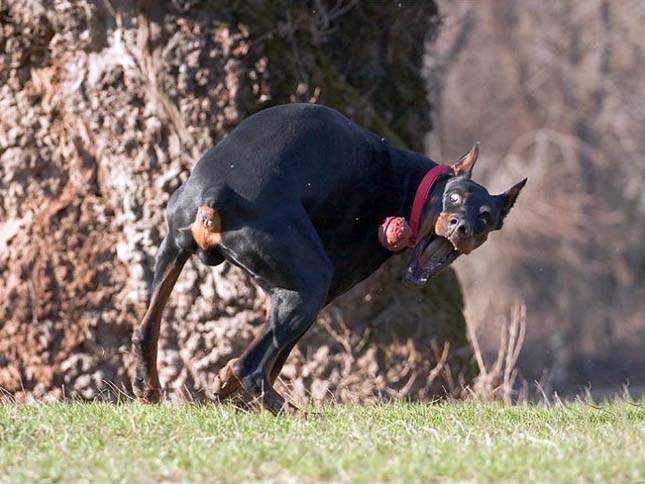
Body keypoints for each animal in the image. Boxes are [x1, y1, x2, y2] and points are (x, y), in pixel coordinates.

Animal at [132, 103, 528, 412]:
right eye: (455, 198)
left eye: (486, 217)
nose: (462, 226)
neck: (410, 184)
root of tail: (218, 192)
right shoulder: (329, 288)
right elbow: (276, 358)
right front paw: (227, 386)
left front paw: (223, 385)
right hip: (311, 286)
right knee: (252, 367)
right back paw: (293, 412)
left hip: (173, 248)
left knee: (146, 329)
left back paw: (149, 388)